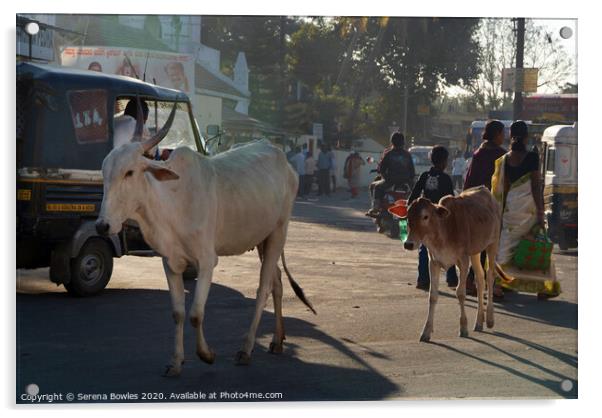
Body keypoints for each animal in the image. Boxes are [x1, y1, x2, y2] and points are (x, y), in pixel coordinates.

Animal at [95, 103, 314, 376]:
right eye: (104, 173)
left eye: (129, 172)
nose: (102, 225)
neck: (173, 203)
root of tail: (280, 156)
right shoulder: (170, 263)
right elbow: (178, 313)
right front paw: (176, 362)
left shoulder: (207, 261)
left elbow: (196, 314)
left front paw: (206, 355)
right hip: (262, 239)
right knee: (277, 283)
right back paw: (277, 339)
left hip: (278, 232)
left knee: (263, 288)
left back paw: (246, 349)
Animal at [404, 188, 502, 342]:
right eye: (408, 217)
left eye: (425, 216)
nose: (408, 244)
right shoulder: (434, 262)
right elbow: (433, 296)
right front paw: (426, 331)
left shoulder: (463, 261)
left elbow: (460, 293)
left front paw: (463, 328)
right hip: (475, 252)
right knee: (480, 279)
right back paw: (479, 322)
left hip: (493, 244)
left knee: (490, 276)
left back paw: (490, 319)